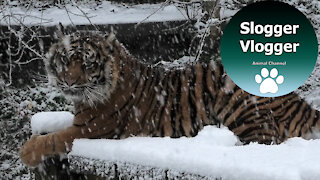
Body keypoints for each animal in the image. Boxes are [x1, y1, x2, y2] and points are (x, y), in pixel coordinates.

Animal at [19, 24, 320, 167]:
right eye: (65, 59)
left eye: (88, 63)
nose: (68, 81)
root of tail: (296, 99)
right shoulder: (80, 119)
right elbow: (56, 126)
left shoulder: (95, 128)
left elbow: (55, 138)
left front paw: (26, 151)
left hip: (239, 105)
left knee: (264, 143)